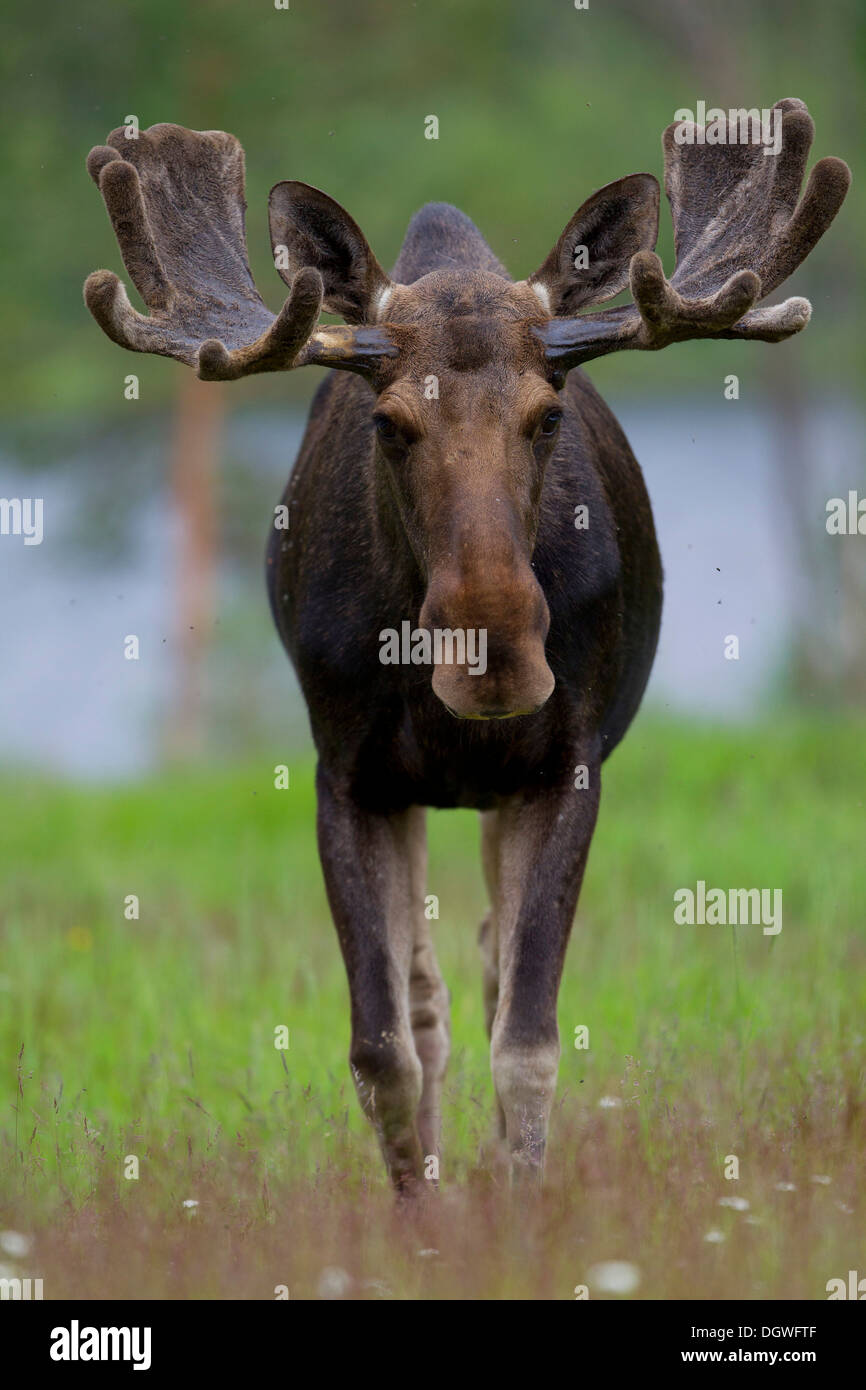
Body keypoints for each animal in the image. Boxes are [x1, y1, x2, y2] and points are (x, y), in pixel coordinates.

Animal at [84, 97, 850, 1189]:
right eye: (390, 422)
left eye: (546, 414)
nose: (494, 649)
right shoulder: (347, 776)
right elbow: (385, 1050)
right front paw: (421, 1214)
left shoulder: (566, 763)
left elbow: (526, 1039)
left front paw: (519, 1204)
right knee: (433, 1000)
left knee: (487, 966)